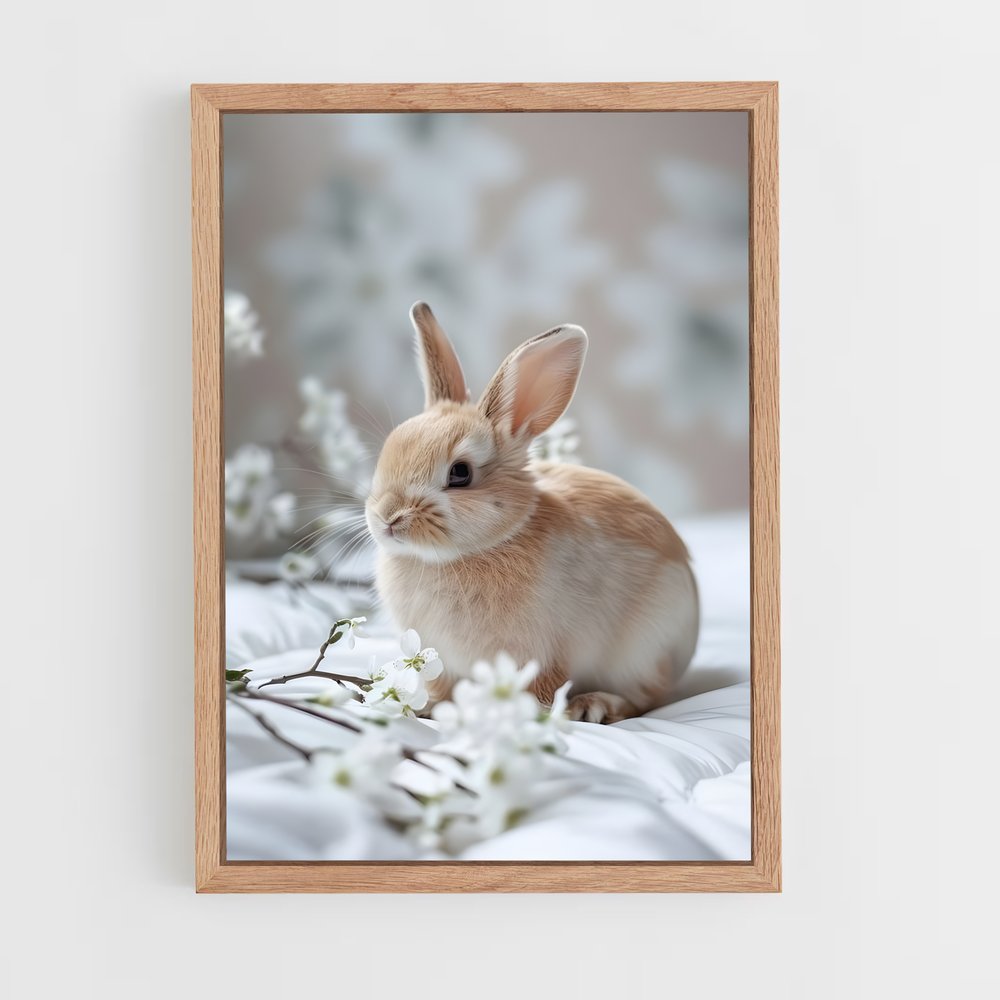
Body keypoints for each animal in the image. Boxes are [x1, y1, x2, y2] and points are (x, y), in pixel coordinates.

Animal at [364, 302, 699, 724]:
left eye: (460, 473)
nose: (388, 517)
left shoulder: (540, 653)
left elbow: (542, 688)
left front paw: (530, 714)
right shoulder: (442, 659)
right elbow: (441, 687)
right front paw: (431, 708)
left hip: (643, 650)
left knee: (644, 697)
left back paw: (595, 706)